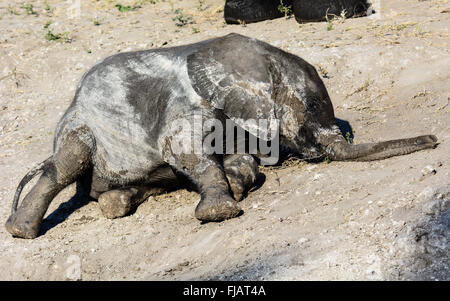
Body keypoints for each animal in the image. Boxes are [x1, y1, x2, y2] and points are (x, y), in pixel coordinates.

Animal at [5, 32, 438, 238]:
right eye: (312, 107)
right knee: (66, 163)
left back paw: (116, 203)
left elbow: (240, 158)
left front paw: (239, 184)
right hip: (82, 127)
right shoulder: (186, 104)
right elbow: (184, 151)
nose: (433, 141)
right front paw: (220, 212)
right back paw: (21, 232)